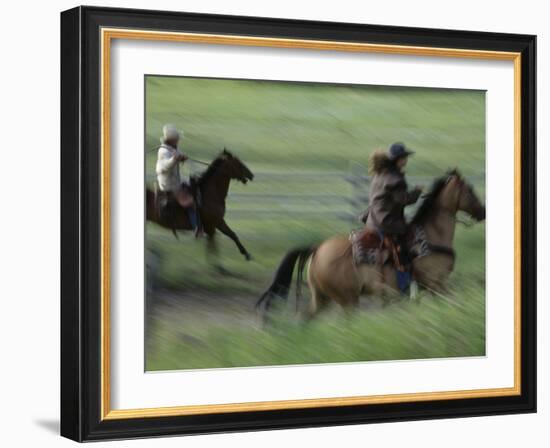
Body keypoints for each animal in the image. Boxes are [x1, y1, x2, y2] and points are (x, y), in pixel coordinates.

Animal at [258, 168, 488, 318]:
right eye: (470, 189)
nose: (483, 211)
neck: (430, 236)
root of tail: (317, 249)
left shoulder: (433, 286)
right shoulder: (436, 283)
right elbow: (453, 302)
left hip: (321, 297)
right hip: (348, 300)